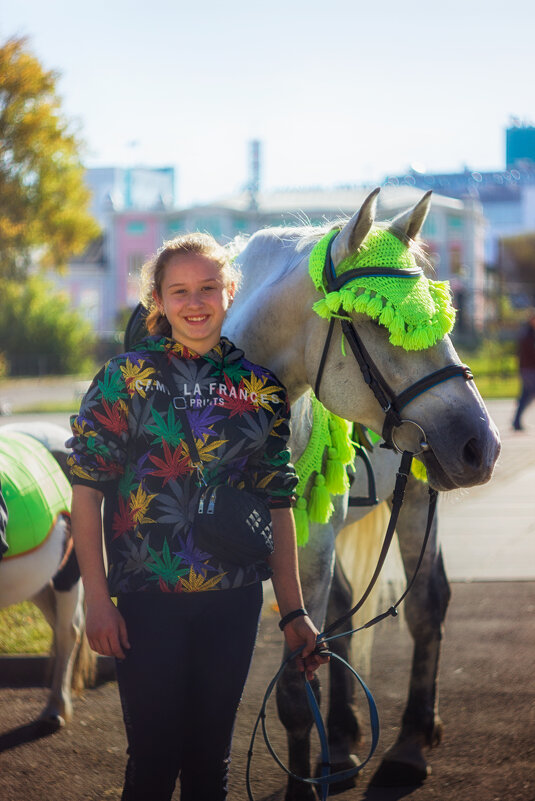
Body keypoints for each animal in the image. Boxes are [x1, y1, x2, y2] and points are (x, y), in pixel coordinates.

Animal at [223, 189, 502, 800]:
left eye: (442, 317)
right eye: (376, 318)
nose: (482, 444)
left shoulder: (311, 549)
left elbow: (294, 687)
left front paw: (302, 784)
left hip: (417, 499)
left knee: (426, 606)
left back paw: (408, 744)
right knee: (347, 613)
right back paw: (346, 738)